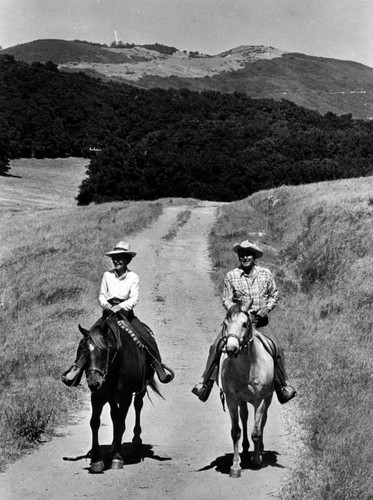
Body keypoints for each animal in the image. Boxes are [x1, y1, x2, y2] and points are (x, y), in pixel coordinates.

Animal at [78, 314, 161, 474]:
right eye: (84, 351)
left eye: (105, 350)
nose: (94, 382)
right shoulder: (97, 396)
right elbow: (95, 422)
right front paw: (96, 460)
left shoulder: (125, 397)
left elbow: (121, 424)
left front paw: (117, 458)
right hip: (110, 398)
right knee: (114, 416)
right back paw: (113, 445)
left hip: (140, 390)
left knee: (138, 406)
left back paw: (135, 440)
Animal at [219, 298, 274, 478]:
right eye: (225, 324)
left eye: (244, 324)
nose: (231, 349)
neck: (247, 368)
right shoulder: (231, 400)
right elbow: (235, 431)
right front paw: (235, 466)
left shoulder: (260, 400)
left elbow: (256, 431)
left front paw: (256, 459)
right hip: (242, 401)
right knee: (244, 417)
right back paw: (244, 449)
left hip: (268, 399)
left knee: (263, 421)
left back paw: (260, 449)